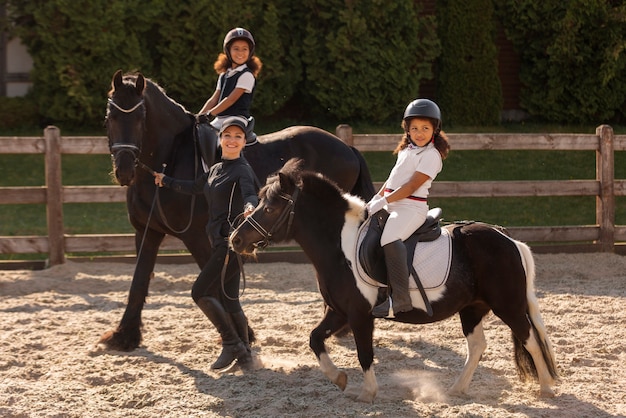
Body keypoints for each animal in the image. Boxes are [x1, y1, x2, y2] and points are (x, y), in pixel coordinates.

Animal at [100, 70, 372, 352]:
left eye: (140, 119)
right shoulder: (147, 231)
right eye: (110, 118)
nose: (124, 170)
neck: (171, 159)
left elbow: (216, 287)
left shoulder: (197, 237)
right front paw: (124, 335)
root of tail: (347, 147)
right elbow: (139, 280)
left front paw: (242, 335)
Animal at [229, 159, 556, 402]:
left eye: (270, 208)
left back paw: (545, 389)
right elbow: (314, 338)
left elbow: (365, 354)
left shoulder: (360, 315)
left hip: (508, 306)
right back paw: (457, 389)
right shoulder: (338, 312)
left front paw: (367, 393)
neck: (340, 246)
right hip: (472, 308)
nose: (236, 239)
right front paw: (339, 378)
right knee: (477, 346)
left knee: (530, 339)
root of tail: (508, 239)